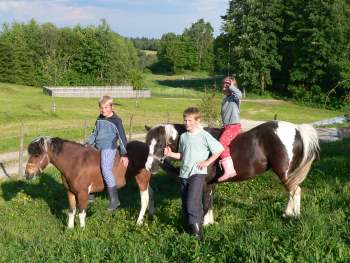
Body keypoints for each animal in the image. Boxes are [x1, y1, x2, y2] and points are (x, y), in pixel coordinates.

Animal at [25, 138, 154, 229]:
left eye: (37, 154)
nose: (27, 174)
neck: (75, 163)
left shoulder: (82, 193)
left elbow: (81, 213)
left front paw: (82, 230)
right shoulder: (70, 192)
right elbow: (71, 211)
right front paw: (70, 229)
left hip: (142, 178)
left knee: (144, 199)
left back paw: (139, 222)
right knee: (151, 194)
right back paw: (151, 215)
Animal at [145, 121, 320, 227]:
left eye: (159, 144)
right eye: (147, 144)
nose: (149, 167)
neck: (195, 140)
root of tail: (297, 129)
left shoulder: (204, 183)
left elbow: (205, 204)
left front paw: (205, 224)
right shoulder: (211, 184)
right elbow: (209, 202)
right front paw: (210, 223)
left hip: (285, 173)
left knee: (295, 191)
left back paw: (295, 217)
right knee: (292, 191)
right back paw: (287, 214)